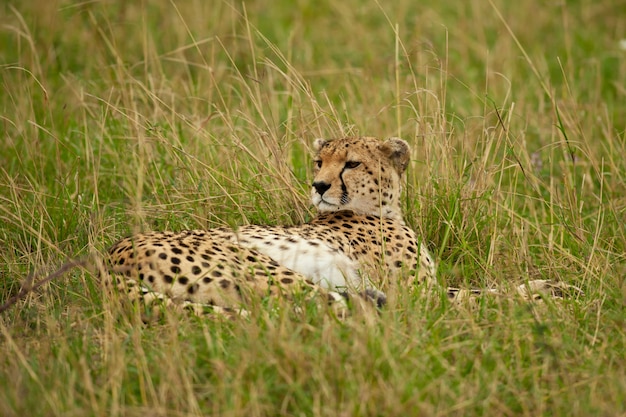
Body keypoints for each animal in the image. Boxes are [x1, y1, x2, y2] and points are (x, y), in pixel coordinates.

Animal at [105, 136, 576, 316]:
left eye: (351, 163)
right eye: (319, 162)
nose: (319, 185)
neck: (379, 211)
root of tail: (110, 254)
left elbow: (479, 287)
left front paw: (550, 286)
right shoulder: (418, 292)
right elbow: (473, 297)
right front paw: (543, 298)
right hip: (261, 267)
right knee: (327, 309)